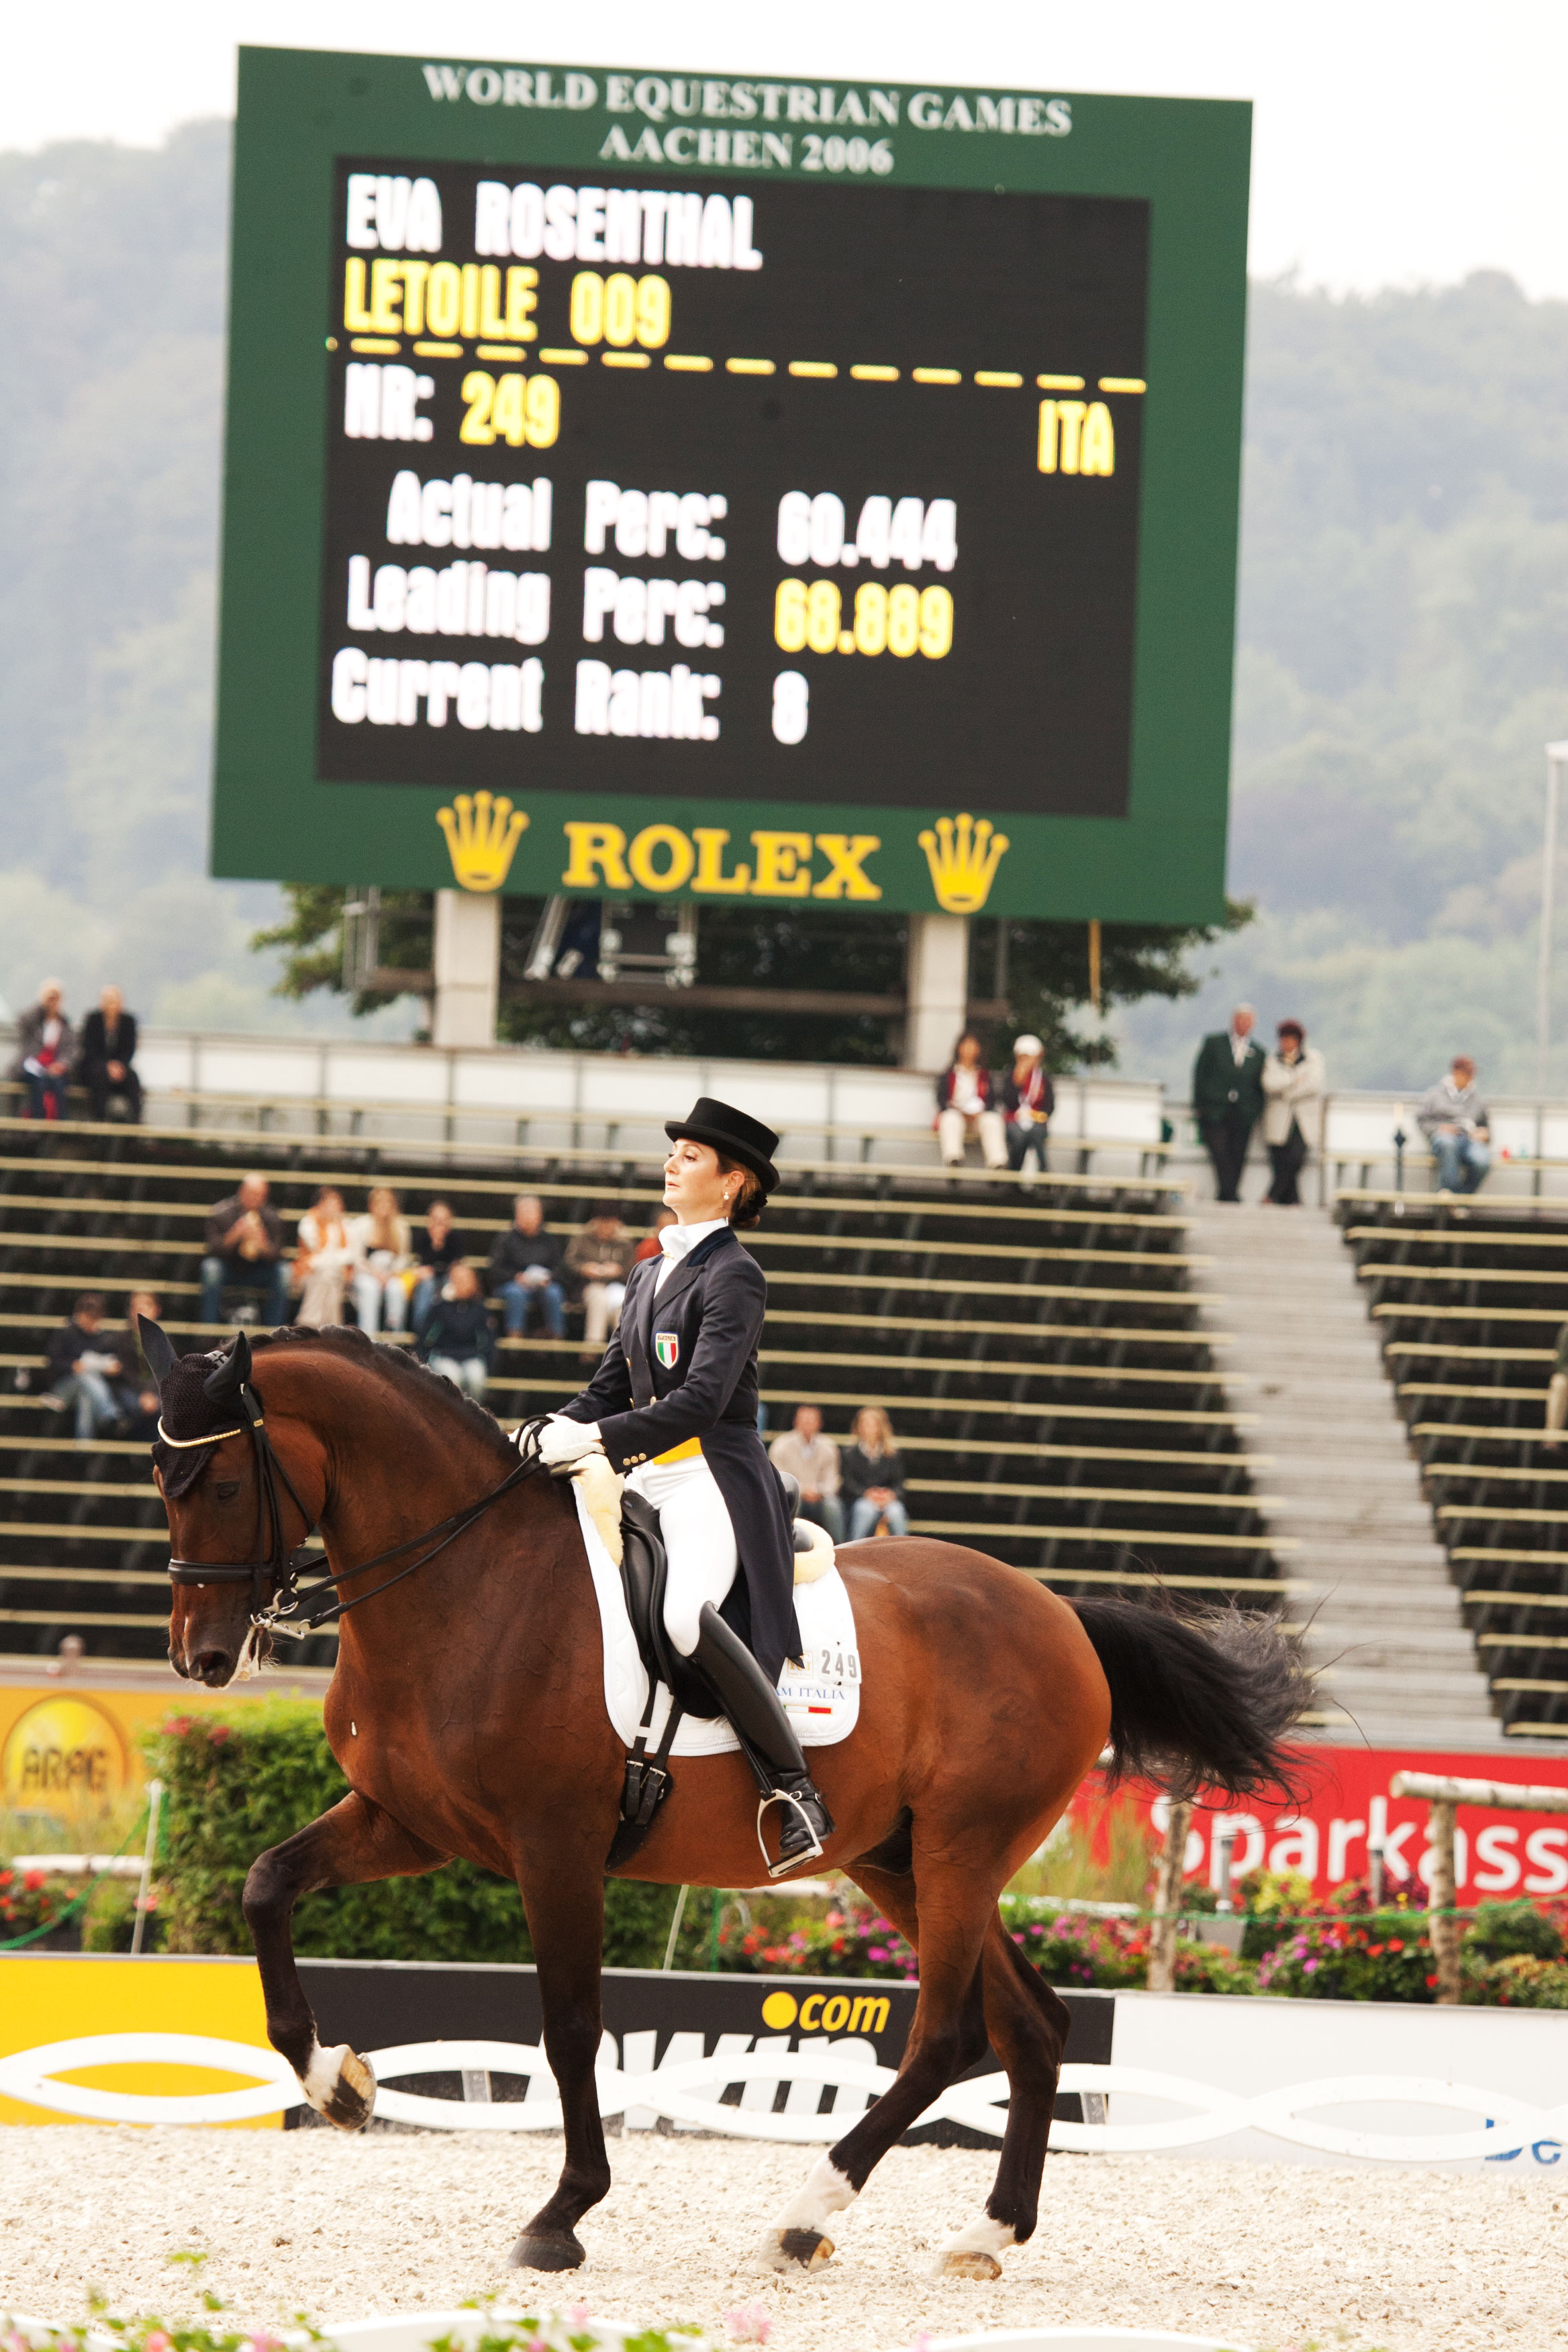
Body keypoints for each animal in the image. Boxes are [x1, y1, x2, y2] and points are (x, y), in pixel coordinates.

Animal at [152, 1336, 1307, 2286]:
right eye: (162, 1480)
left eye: (221, 1479)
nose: (202, 1659)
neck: (469, 1585)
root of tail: (1059, 1611)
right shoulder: (413, 1825)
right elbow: (265, 1886)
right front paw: (337, 2085)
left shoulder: (554, 1849)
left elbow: (573, 2031)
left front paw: (561, 2218)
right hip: (898, 1859)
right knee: (1032, 2023)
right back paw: (985, 2234)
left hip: (962, 1853)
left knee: (946, 2035)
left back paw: (805, 2215)